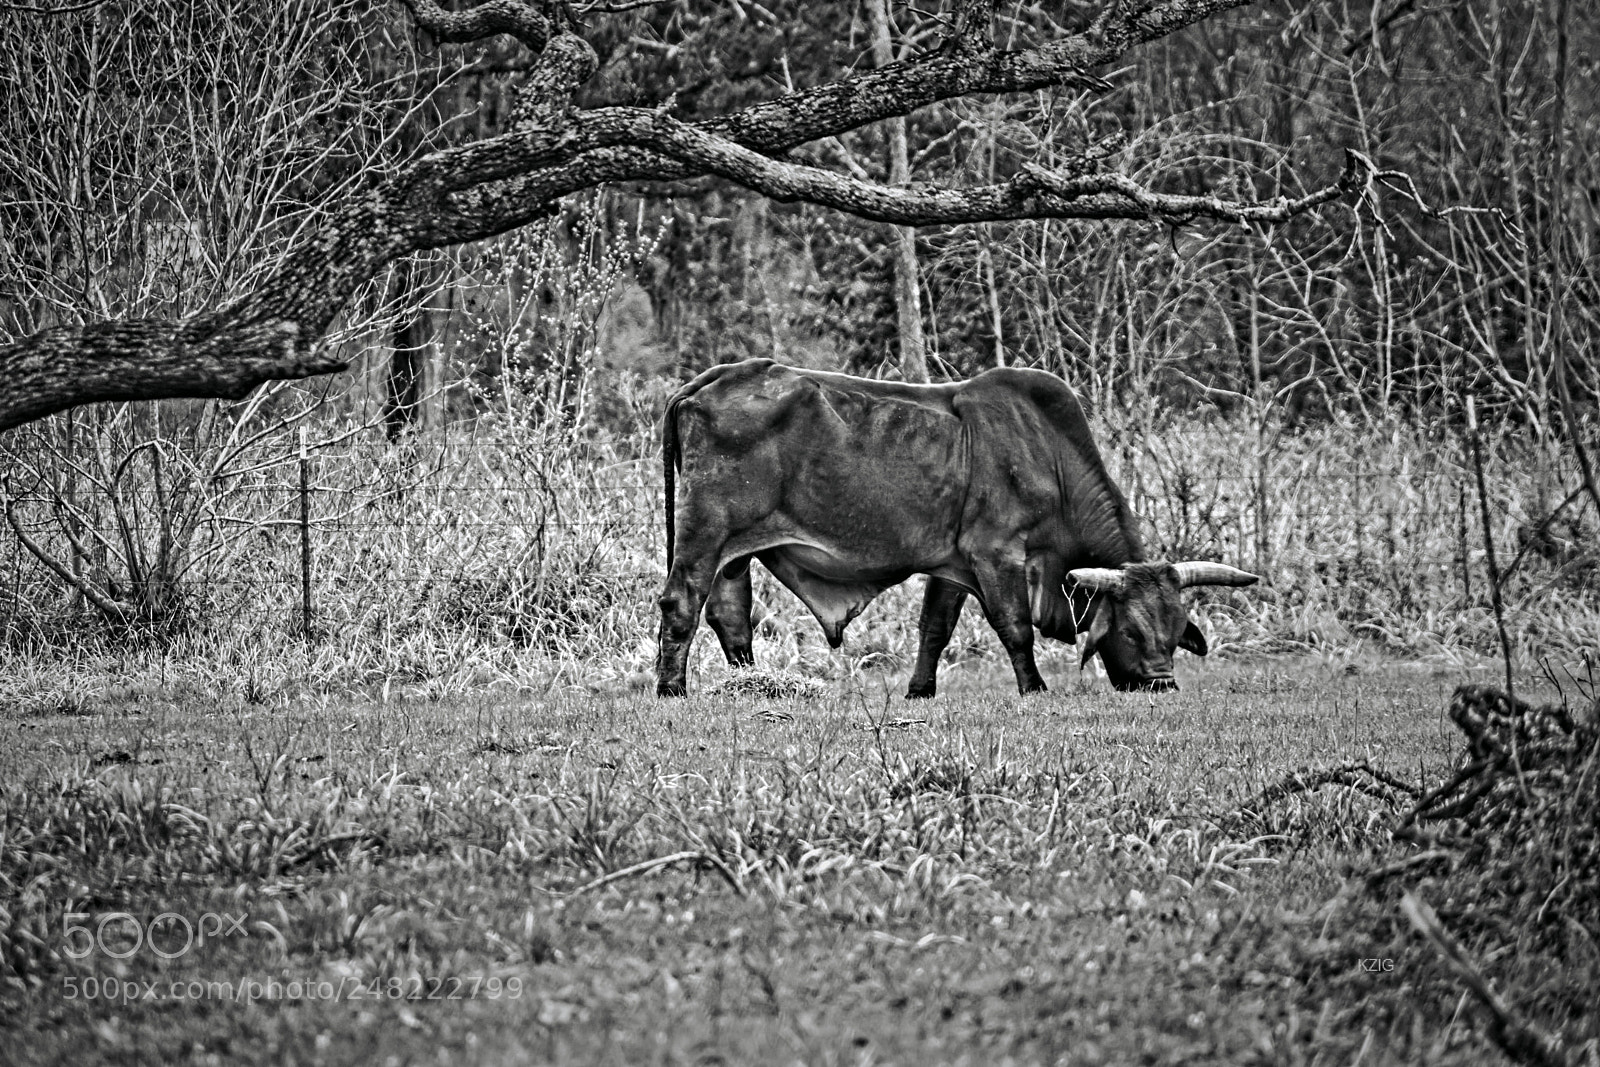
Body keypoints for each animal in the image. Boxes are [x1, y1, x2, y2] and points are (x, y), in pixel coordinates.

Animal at [655, 359, 1258, 697]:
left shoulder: (953, 564)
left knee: (729, 614)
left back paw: (748, 686)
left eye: (1175, 630)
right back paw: (673, 688)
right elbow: (1014, 627)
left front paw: (919, 691)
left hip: (734, 549)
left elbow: (935, 629)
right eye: (1131, 631)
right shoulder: (997, 554)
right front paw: (1034, 688)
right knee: (683, 601)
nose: (1162, 684)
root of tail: (706, 382)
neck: (1052, 460)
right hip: (704, 531)